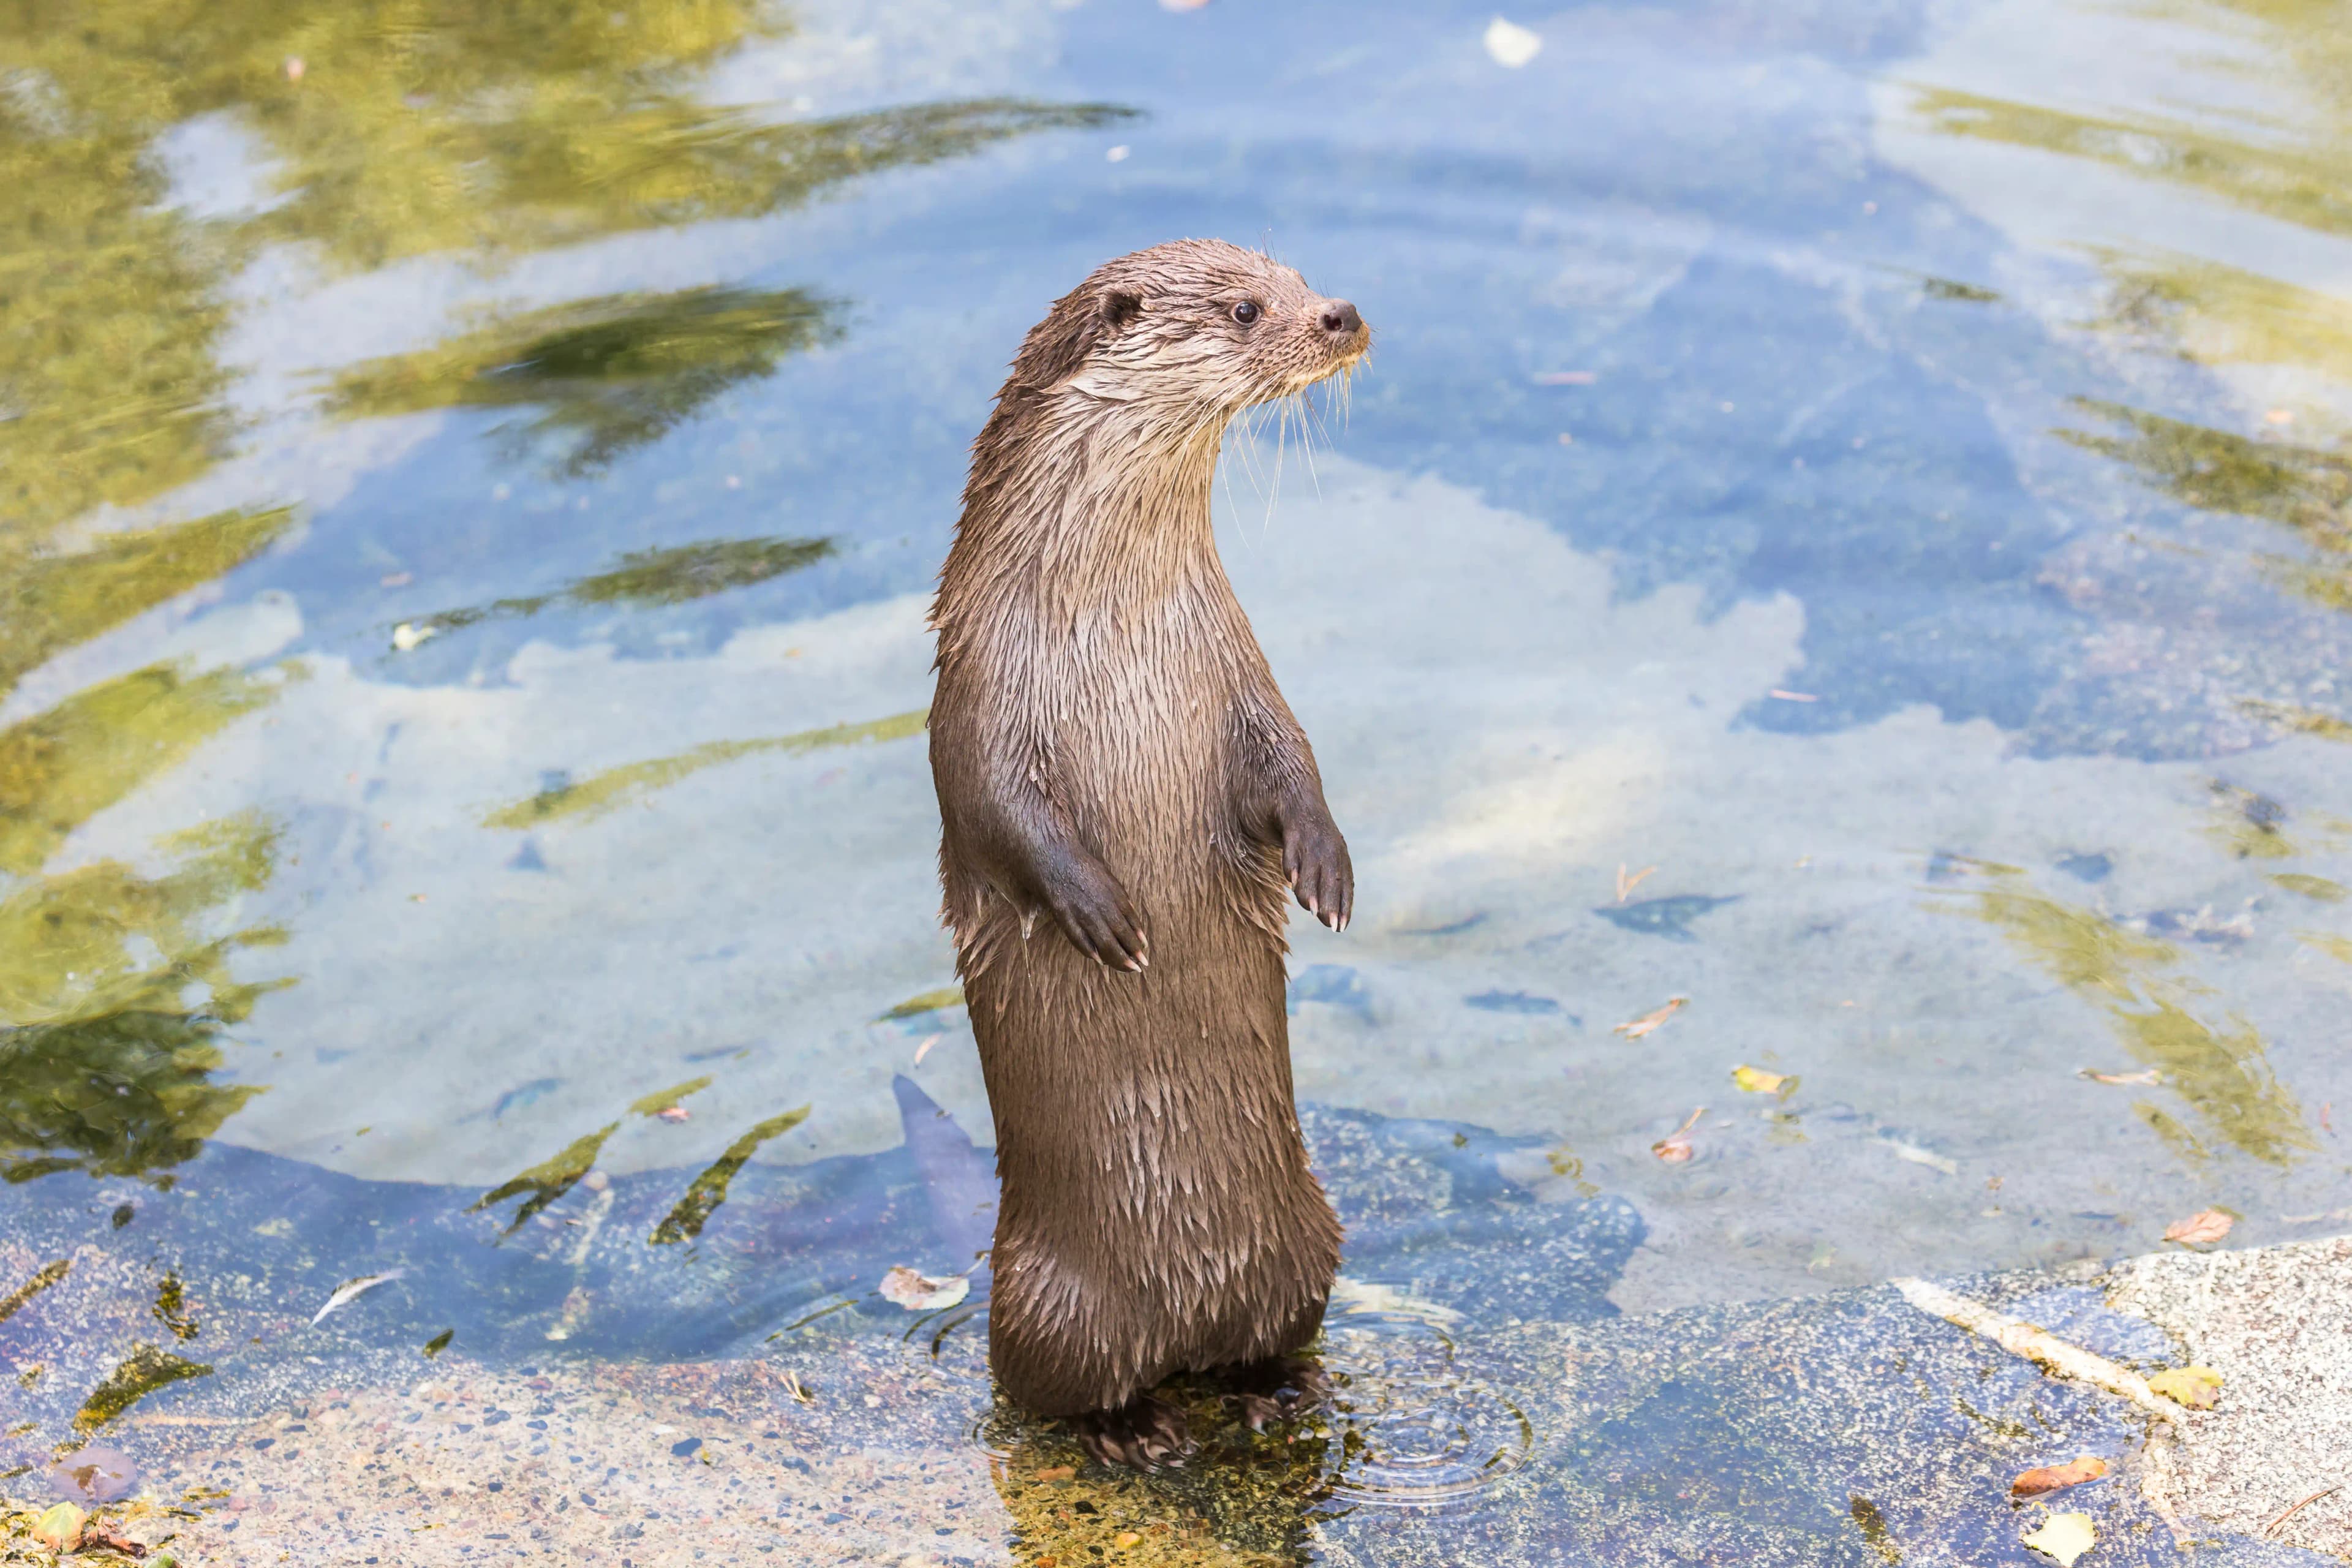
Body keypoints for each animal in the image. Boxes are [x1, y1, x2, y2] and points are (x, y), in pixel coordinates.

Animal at [928, 239, 1369, 1466]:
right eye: (1247, 307)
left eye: (1298, 274)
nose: (1342, 313)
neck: (1113, 622)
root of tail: (1192, 1322)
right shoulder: (977, 698)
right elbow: (997, 812)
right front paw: (1101, 913)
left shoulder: (1237, 665)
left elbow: (1292, 759)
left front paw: (1325, 868)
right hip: (1046, 1301)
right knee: (1052, 1388)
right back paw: (1135, 1429)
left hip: (1309, 1242)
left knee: (1269, 1337)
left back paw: (1274, 1388)